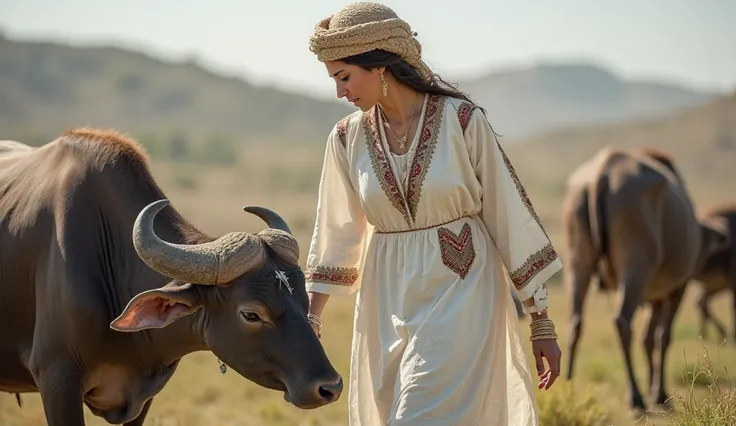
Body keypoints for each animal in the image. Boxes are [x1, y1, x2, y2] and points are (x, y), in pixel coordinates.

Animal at [560, 146, 728, 412]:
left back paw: (569, 390)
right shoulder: (677, 288)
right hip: (636, 262)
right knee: (622, 321)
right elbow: (662, 337)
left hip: (577, 255)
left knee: (575, 321)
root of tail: (602, 173)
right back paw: (635, 397)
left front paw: (655, 391)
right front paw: (660, 394)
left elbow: (648, 339)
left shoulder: (654, 296)